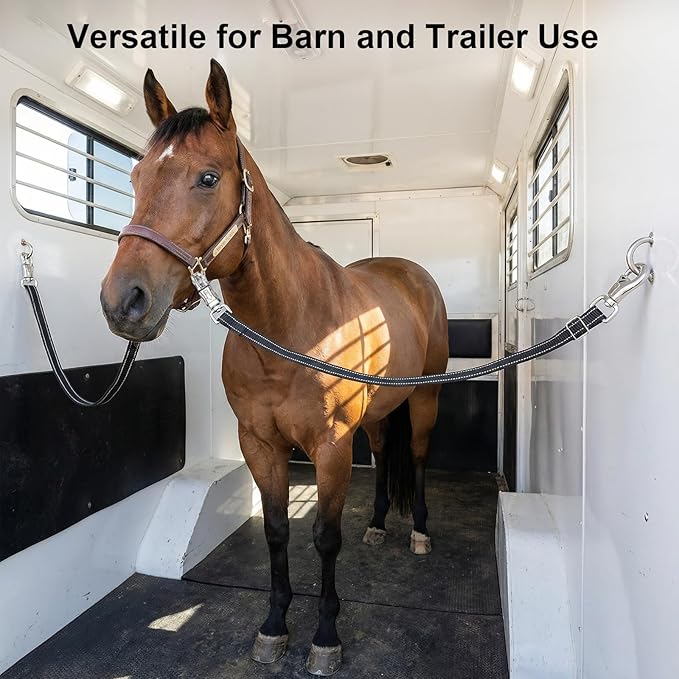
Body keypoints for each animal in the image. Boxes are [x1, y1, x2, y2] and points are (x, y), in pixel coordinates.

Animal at [100, 59, 449, 676]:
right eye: (137, 176)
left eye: (208, 178)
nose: (125, 301)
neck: (287, 332)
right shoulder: (260, 443)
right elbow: (278, 532)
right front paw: (274, 625)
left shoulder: (331, 447)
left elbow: (325, 538)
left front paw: (325, 635)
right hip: (378, 412)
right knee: (386, 451)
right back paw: (379, 524)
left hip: (425, 400)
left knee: (418, 455)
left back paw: (420, 533)